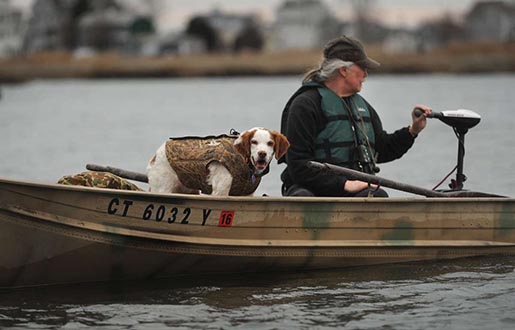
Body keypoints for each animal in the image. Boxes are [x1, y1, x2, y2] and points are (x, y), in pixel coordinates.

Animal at [146, 127, 290, 196]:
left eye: (270, 143)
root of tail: (157, 153)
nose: (262, 154)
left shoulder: (247, 194)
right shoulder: (220, 192)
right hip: (163, 189)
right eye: (254, 142)